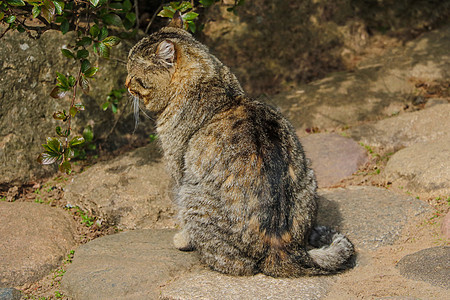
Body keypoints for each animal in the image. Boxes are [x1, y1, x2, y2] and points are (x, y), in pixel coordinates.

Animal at [126, 13, 356, 276]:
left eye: (133, 76)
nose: (125, 83)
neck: (214, 85)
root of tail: (282, 248)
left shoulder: (179, 172)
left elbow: (183, 220)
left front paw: (183, 238)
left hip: (192, 194)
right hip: (309, 174)